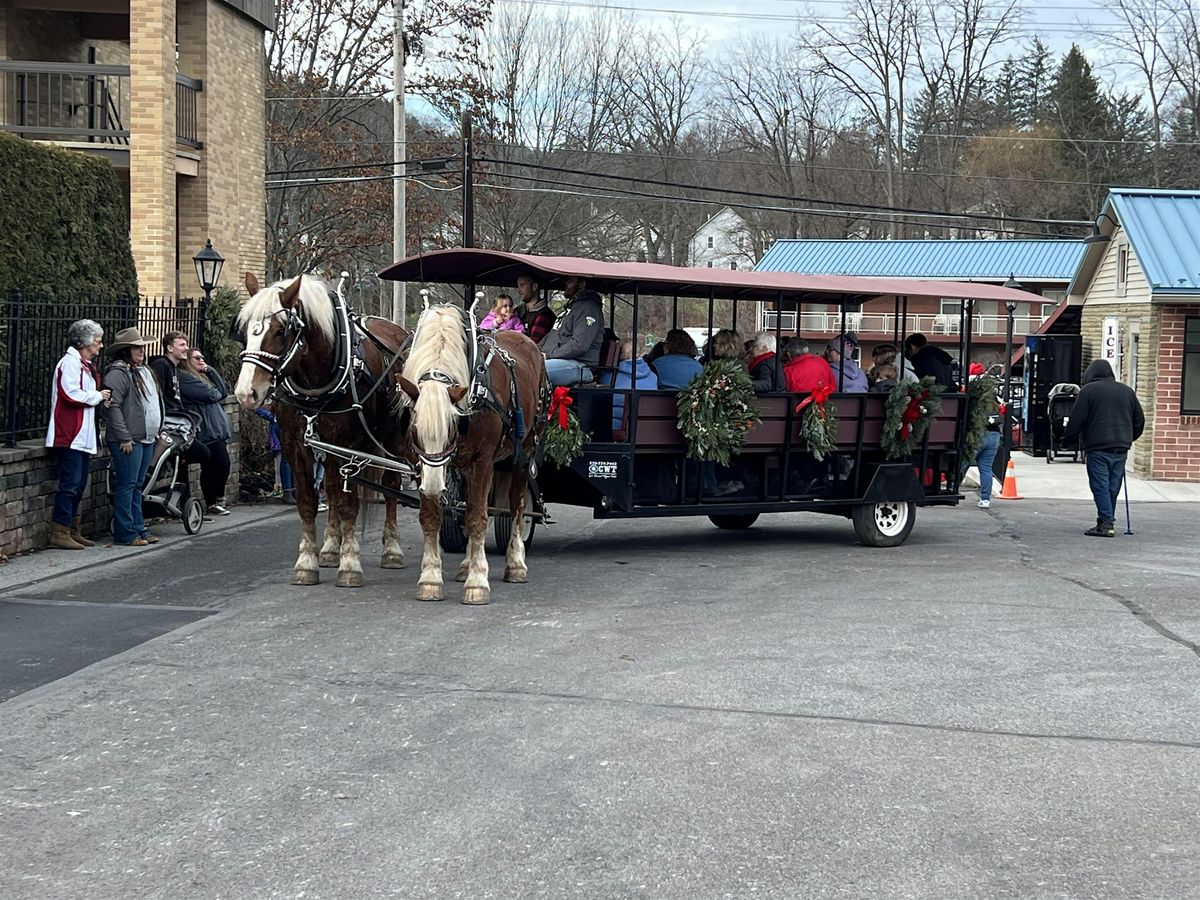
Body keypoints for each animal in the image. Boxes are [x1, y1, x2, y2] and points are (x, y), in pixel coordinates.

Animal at [234, 271, 412, 588]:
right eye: (243, 330)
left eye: (280, 331)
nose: (246, 393)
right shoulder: (296, 443)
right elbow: (310, 500)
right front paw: (308, 562)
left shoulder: (350, 447)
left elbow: (349, 502)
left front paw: (350, 565)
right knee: (330, 485)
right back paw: (330, 548)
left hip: (393, 441)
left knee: (391, 486)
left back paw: (392, 550)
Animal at [396, 303, 547, 607]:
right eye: (415, 430)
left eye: (451, 429)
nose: (433, 486)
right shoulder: (424, 464)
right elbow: (432, 516)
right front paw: (431, 579)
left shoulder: (483, 460)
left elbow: (478, 516)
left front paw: (477, 582)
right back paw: (465, 566)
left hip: (524, 450)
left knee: (516, 504)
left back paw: (516, 564)